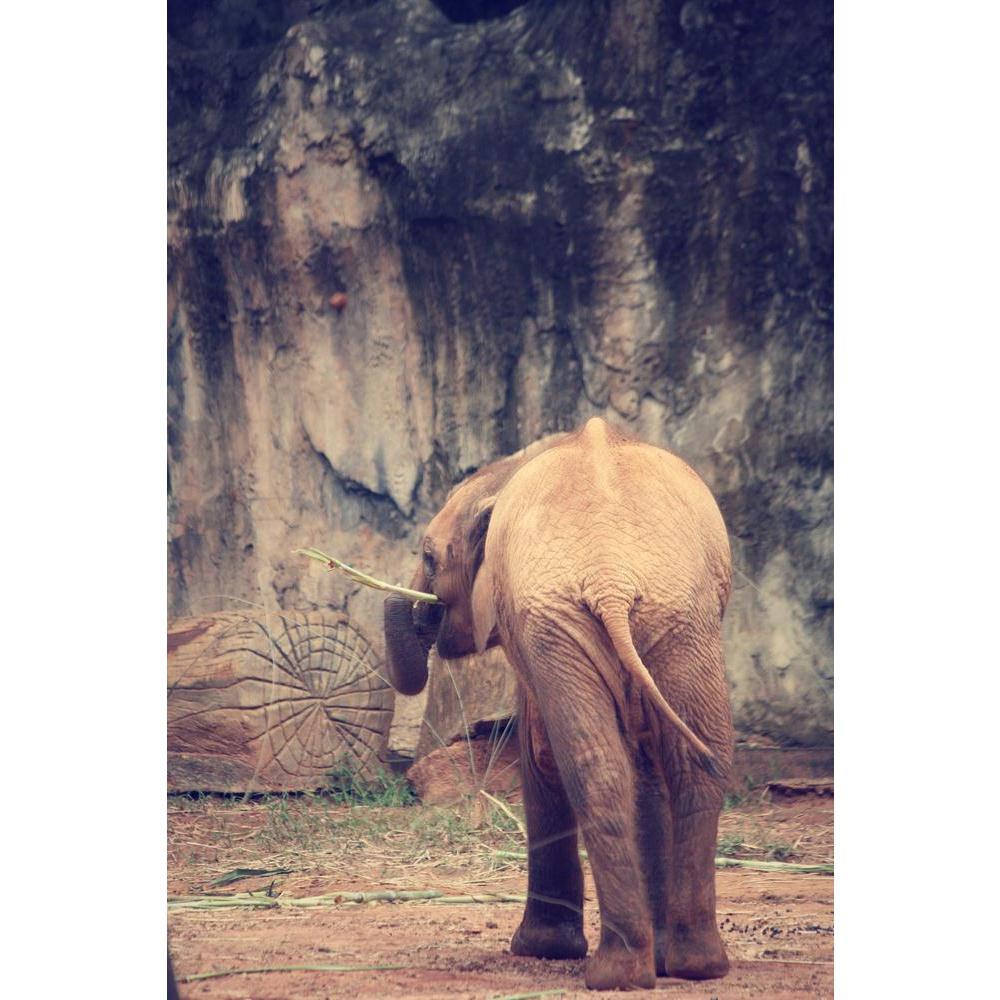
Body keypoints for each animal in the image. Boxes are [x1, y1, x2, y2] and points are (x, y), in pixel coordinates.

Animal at [384, 417, 734, 990]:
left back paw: (618, 973)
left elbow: (541, 752)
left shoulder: (528, 629)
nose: (421, 609)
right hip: (679, 618)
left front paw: (539, 950)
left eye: (430, 558)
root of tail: (613, 578)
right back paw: (690, 965)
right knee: (690, 761)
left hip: (591, 620)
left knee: (593, 765)